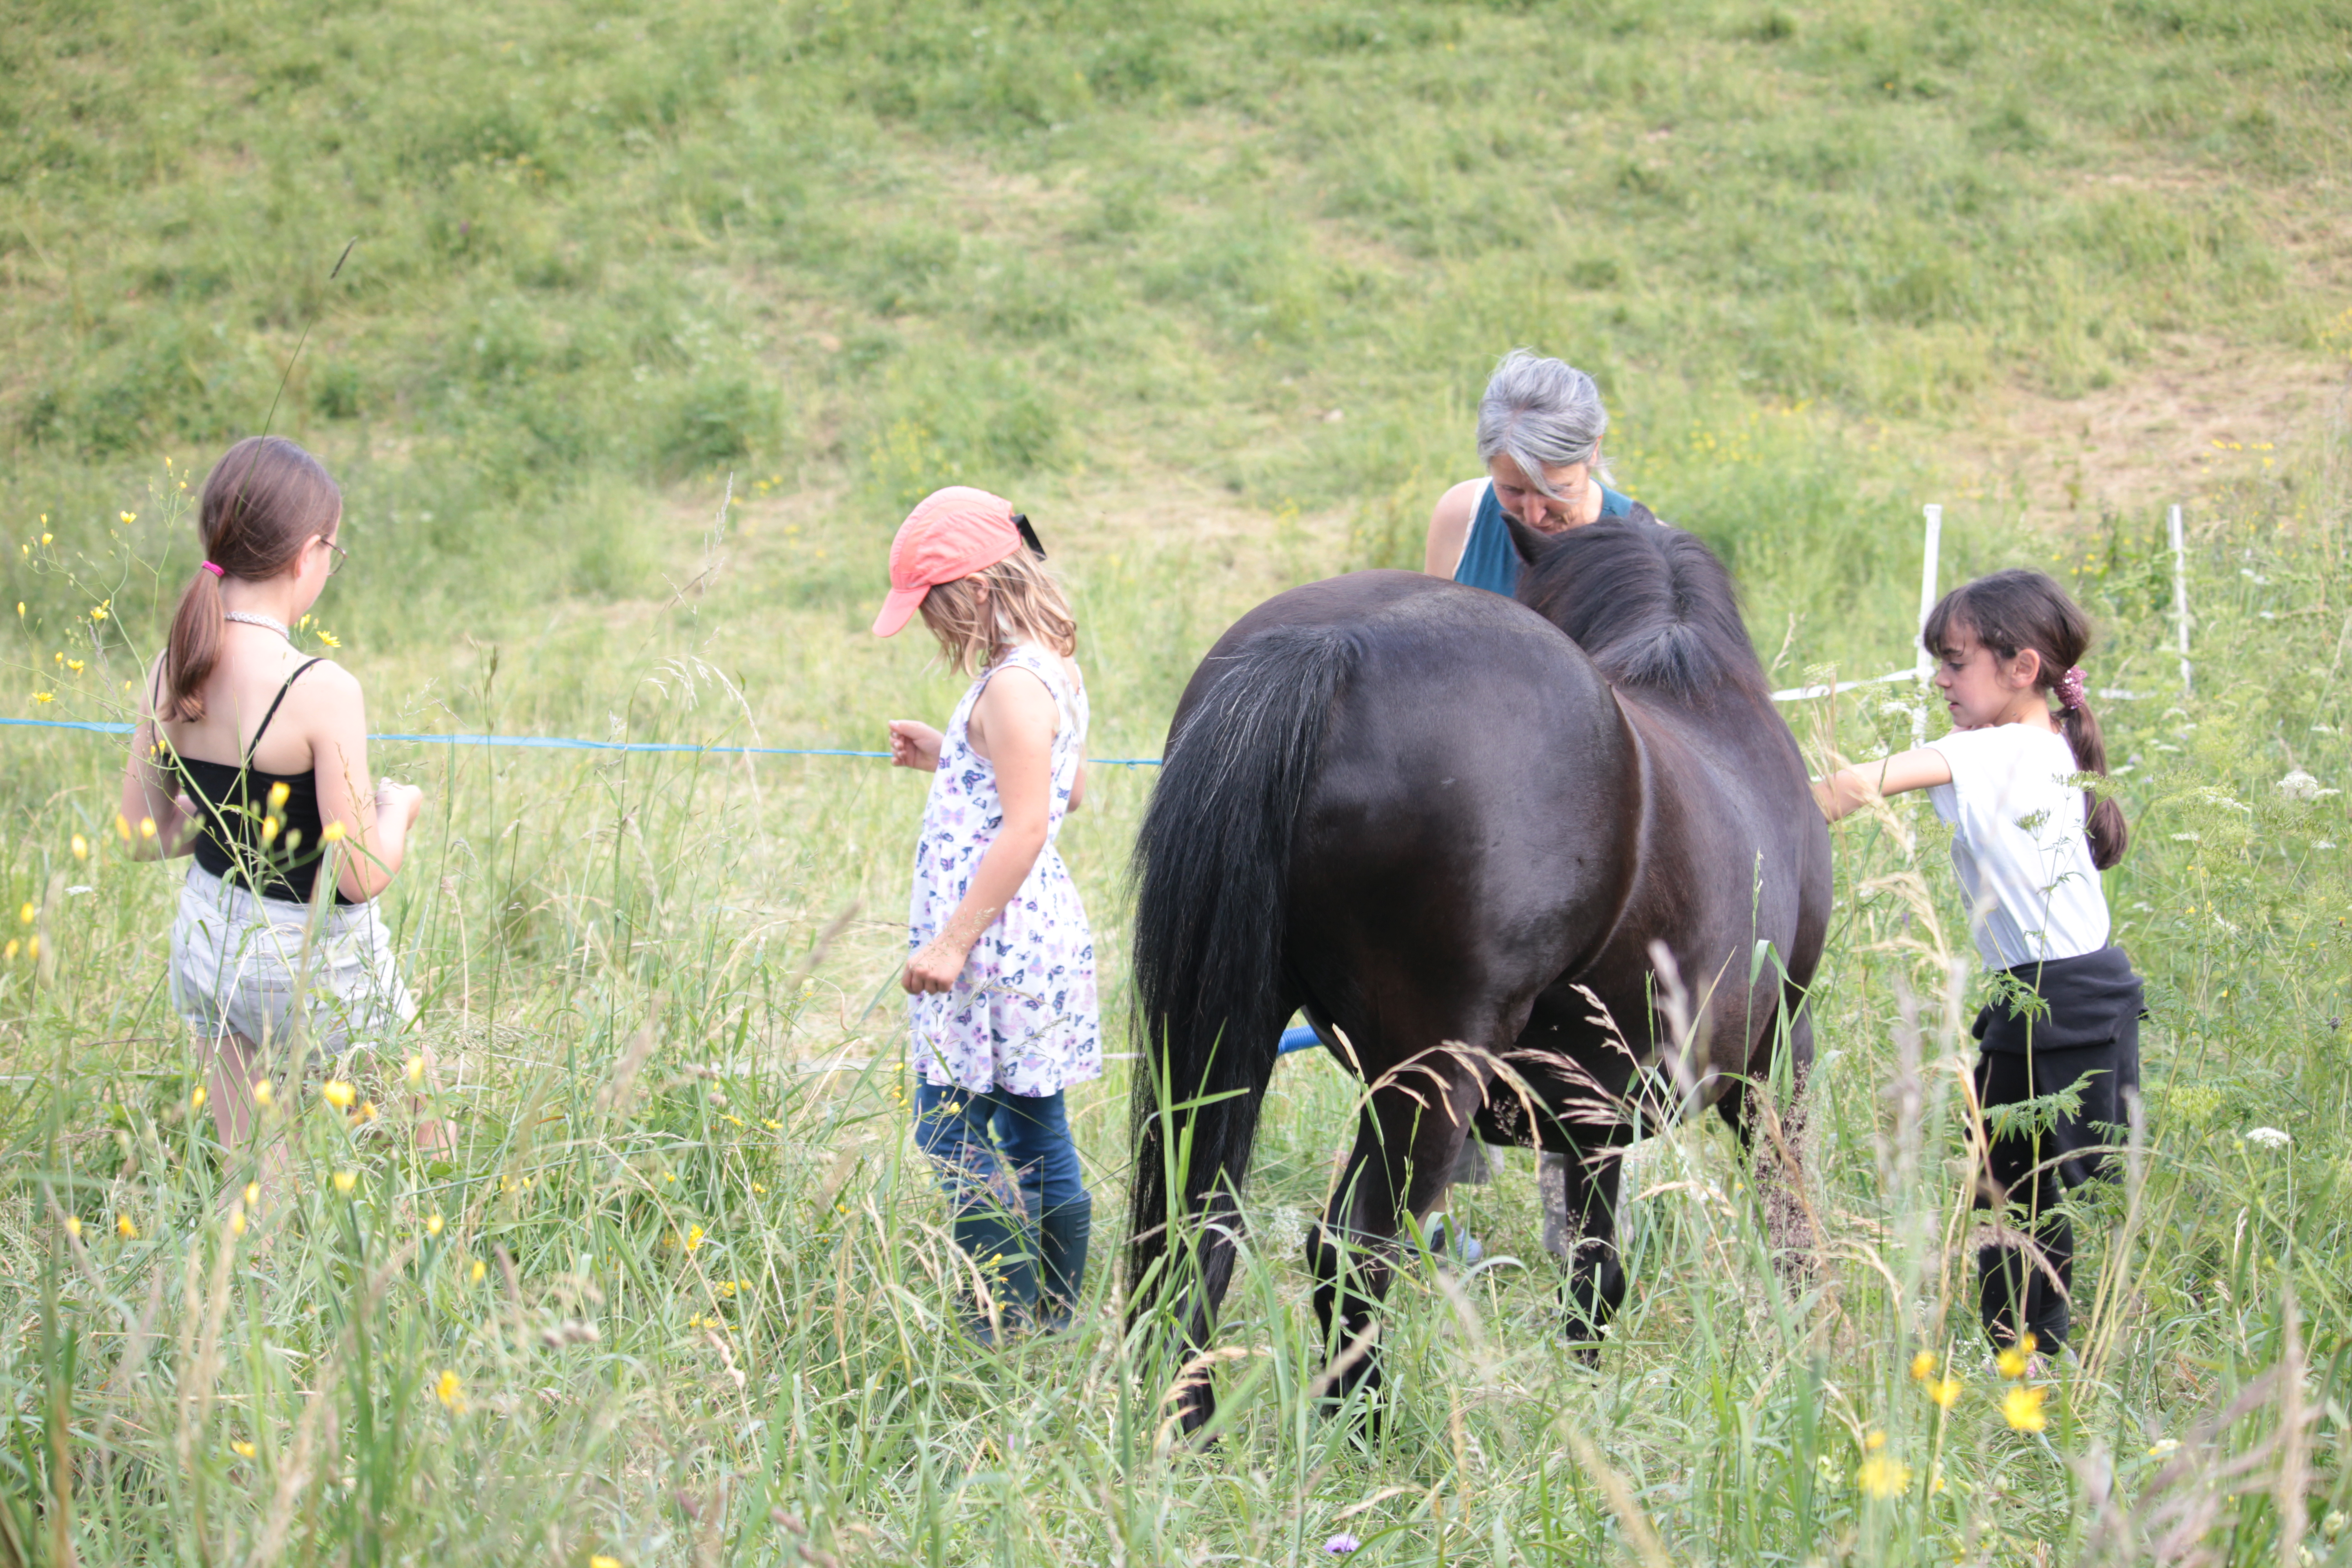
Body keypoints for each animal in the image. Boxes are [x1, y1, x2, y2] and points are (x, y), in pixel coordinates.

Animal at [1124, 510, 1832, 1437]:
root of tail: (1331, 646)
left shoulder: (1594, 1105)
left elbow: (1593, 1264)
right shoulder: (1773, 1057)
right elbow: (1778, 1211)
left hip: (1234, 1045)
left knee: (1196, 1227)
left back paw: (1187, 1425)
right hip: (1431, 1073)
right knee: (1353, 1249)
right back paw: (1363, 1435)